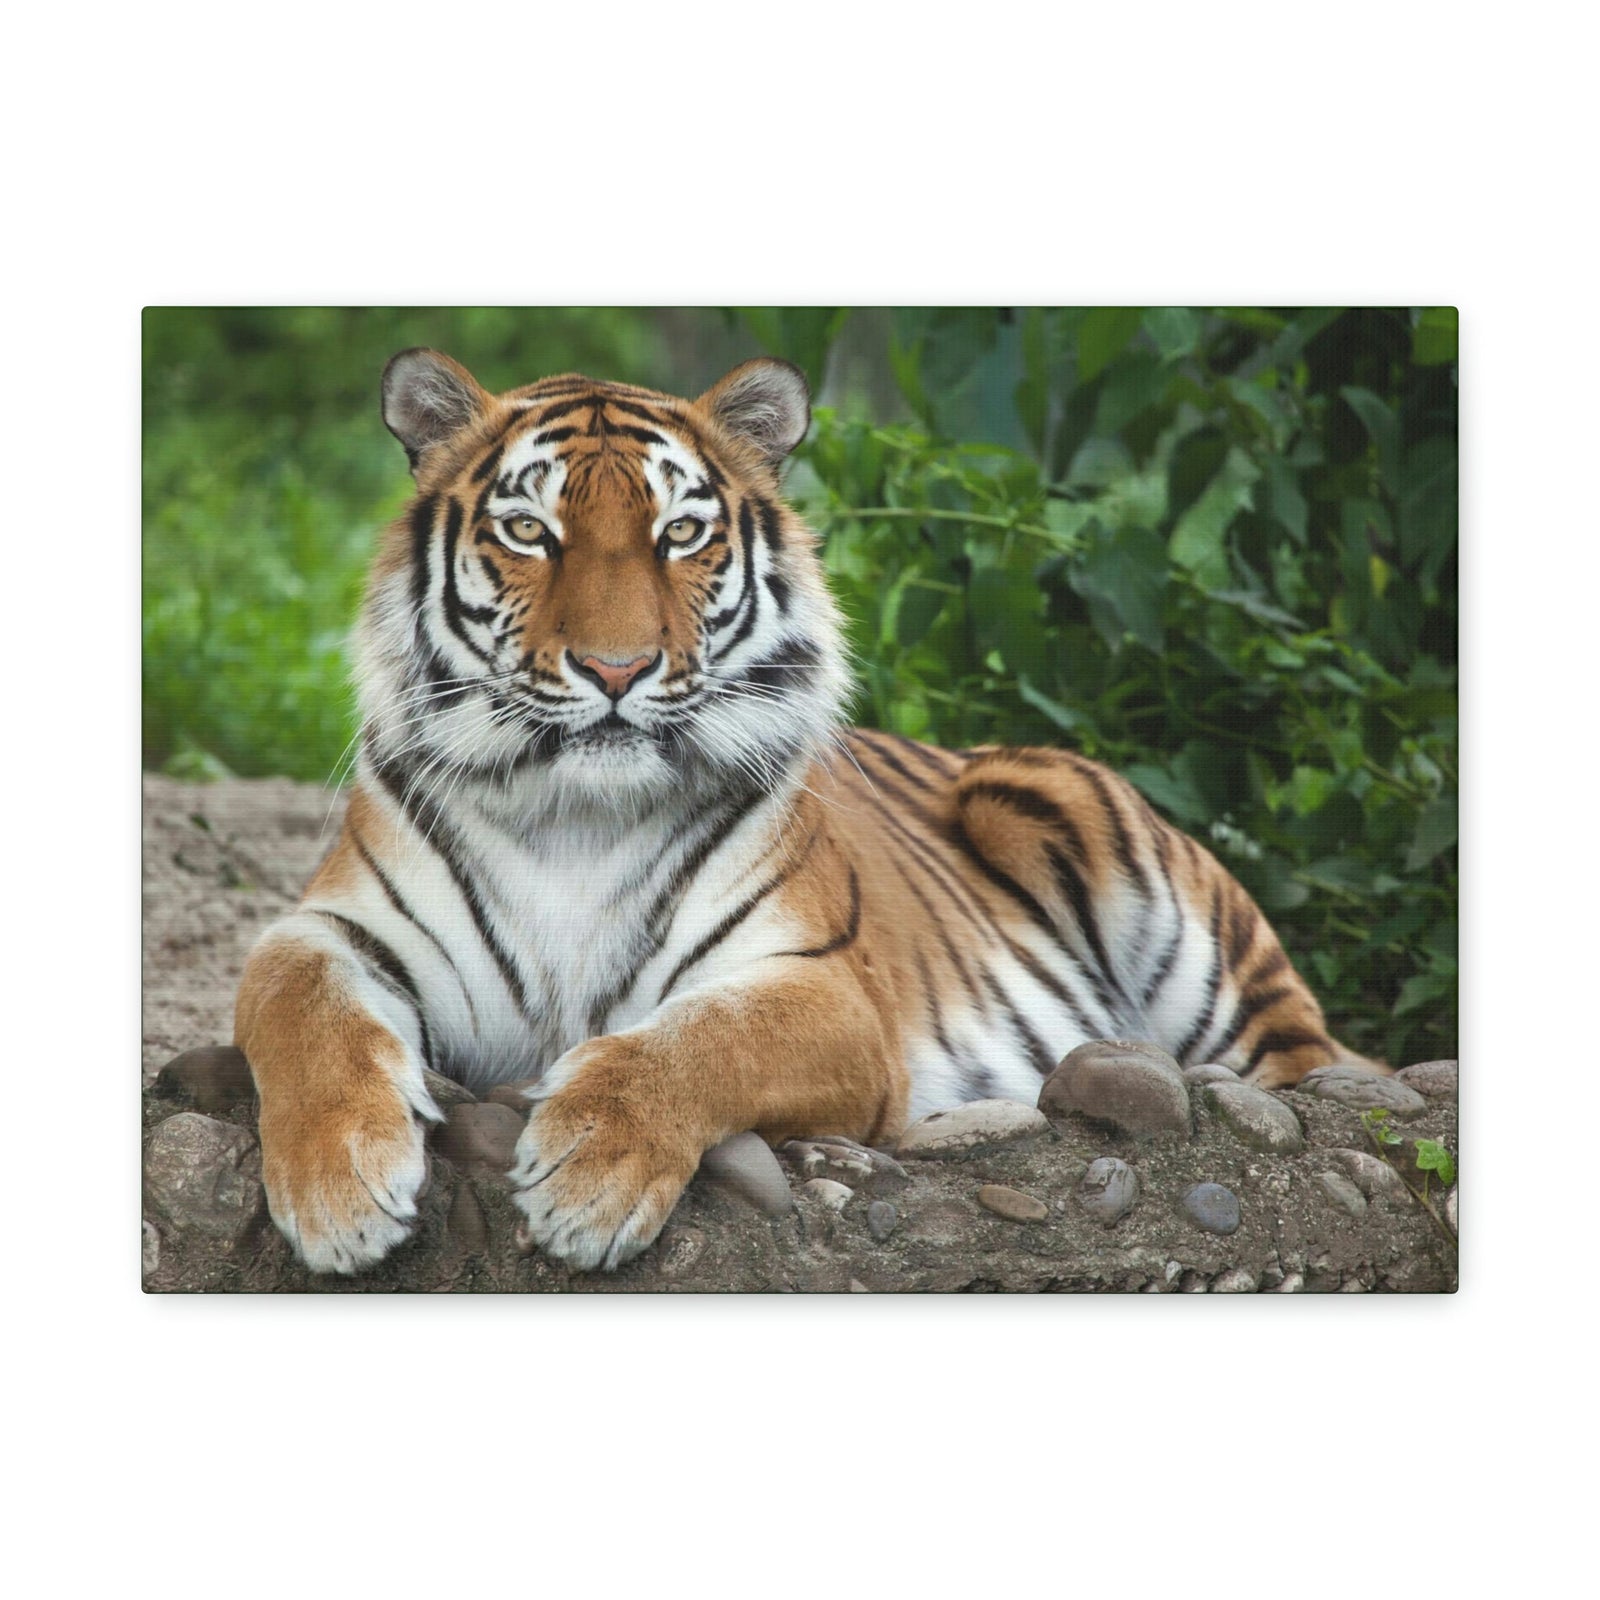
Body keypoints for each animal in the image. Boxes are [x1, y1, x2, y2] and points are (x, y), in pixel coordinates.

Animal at [234, 348, 1382, 1275]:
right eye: (528, 531)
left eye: (680, 534)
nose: (616, 669)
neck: (573, 818)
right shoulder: (334, 927)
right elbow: (298, 1004)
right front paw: (340, 1190)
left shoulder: (826, 991)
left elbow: (696, 1042)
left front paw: (588, 1174)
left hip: (1104, 853)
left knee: (1314, 1064)